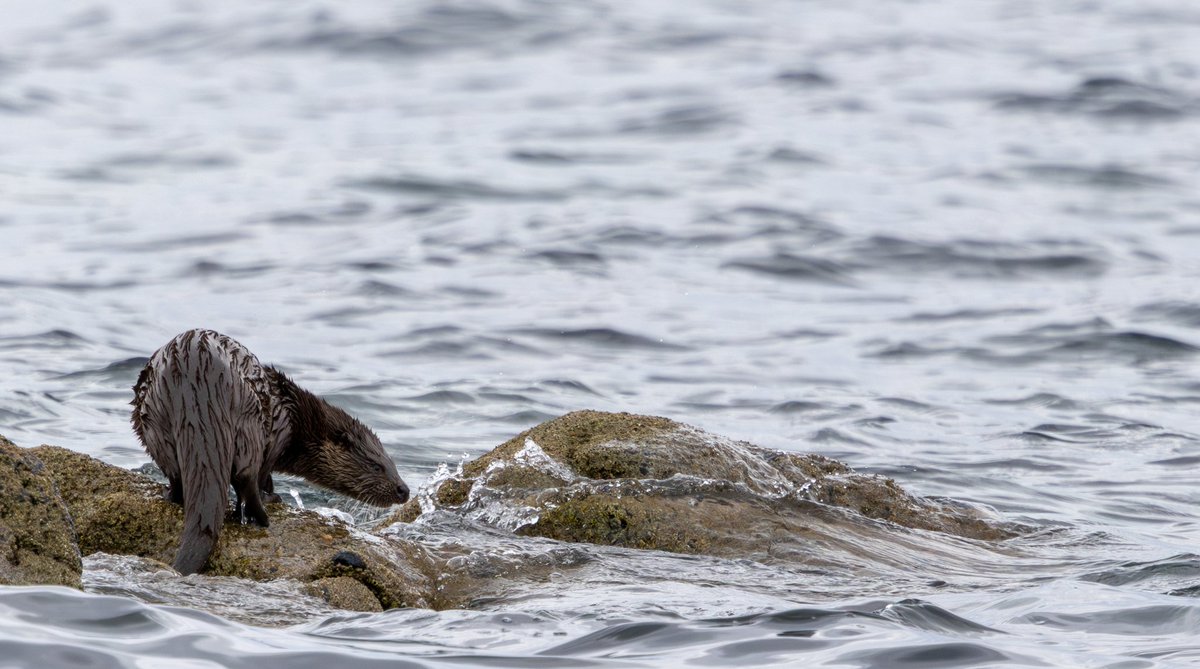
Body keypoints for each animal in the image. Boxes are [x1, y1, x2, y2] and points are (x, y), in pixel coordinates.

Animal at [130, 329, 409, 575]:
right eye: (377, 466)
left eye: (393, 464)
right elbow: (265, 474)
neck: (297, 416)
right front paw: (272, 495)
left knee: (177, 472)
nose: (403, 490)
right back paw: (264, 510)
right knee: (246, 474)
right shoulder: (280, 430)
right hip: (251, 418)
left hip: (154, 421)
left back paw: (171, 494)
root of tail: (197, 385)